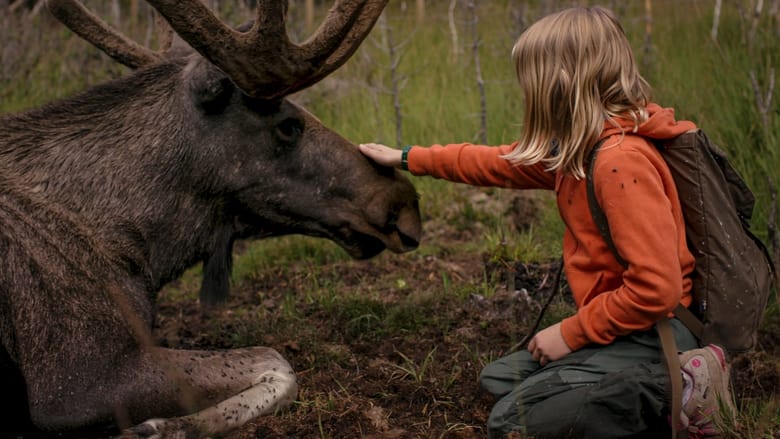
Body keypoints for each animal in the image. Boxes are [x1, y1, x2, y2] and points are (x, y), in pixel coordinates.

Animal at [0, 0, 420, 436]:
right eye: (289, 126)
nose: (405, 203)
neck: (144, 249)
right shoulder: (76, 380)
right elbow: (278, 362)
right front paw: (161, 427)